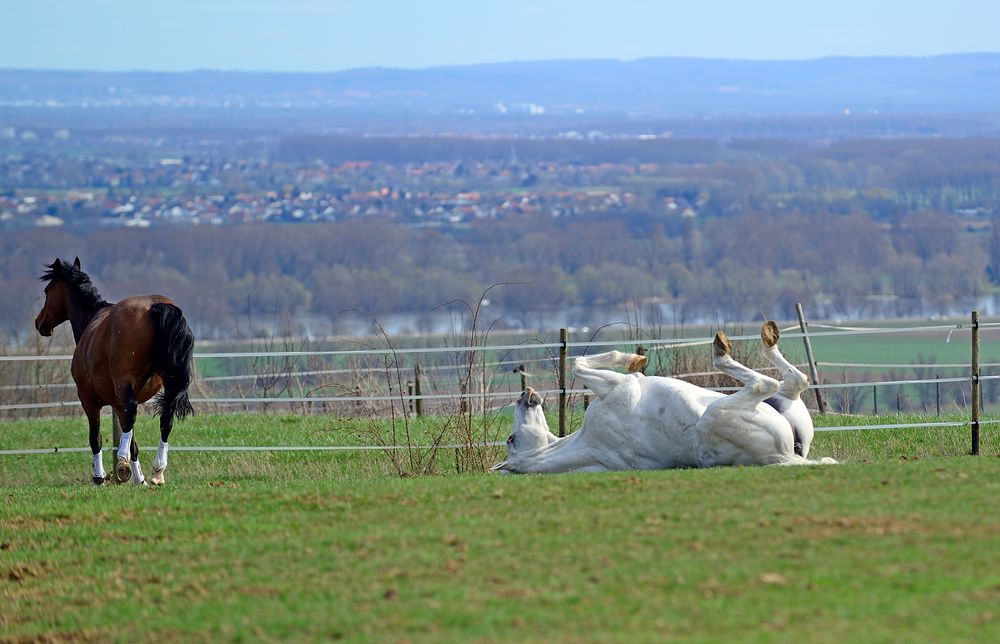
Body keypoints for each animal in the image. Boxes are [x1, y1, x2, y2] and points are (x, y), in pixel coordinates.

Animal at [34, 256, 194, 484]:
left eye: (48, 290)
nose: (40, 322)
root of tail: (156, 305)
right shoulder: (118, 405)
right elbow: (133, 439)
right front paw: (139, 479)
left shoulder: (88, 399)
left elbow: (96, 438)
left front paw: (99, 476)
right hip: (168, 382)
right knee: (166, 418)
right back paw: (157, 470)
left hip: (123, 385)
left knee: (134, 410)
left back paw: (122, 462)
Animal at [492, 322, 836, 472]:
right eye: (511, 439)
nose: (526, 394)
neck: (593, 443)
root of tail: (785, 456)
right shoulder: (616, 385)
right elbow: (580, 364)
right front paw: (635, 360)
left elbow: (580, 362)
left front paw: (635, 359)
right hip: (725, 412)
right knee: (774, 383)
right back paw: (730, 345)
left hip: (787, 408)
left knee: (794, 382)